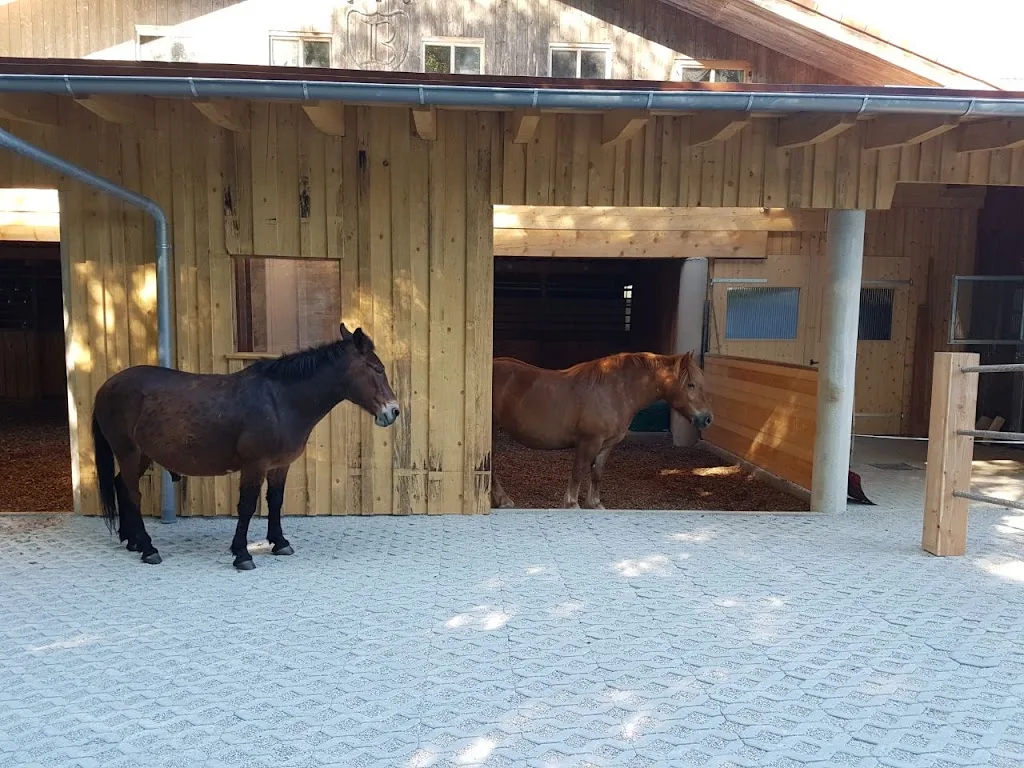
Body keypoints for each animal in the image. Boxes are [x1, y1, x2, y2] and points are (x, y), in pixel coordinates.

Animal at [91, 323, 399, 570]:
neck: (280, 401)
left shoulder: (279, 466)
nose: (393, 411)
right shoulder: (255, 466)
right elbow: (247, 506)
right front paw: (242, 553)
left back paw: (131, 540)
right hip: (129, 452)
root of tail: (106, 386)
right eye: (377, 369)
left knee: (121, 485)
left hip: (141, 454)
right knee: (133, 493)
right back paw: (147, 548)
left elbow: (275, 501)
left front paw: (279, 542)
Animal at [490, 351, 712, 510]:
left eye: (701, 384)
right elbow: (579, 471)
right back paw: (504, 500)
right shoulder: (589, 441)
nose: (707, 418)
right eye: (691, 384)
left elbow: (597, 472)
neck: (614, 390)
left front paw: (595, 504)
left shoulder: (606, 445)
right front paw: (572, 504)